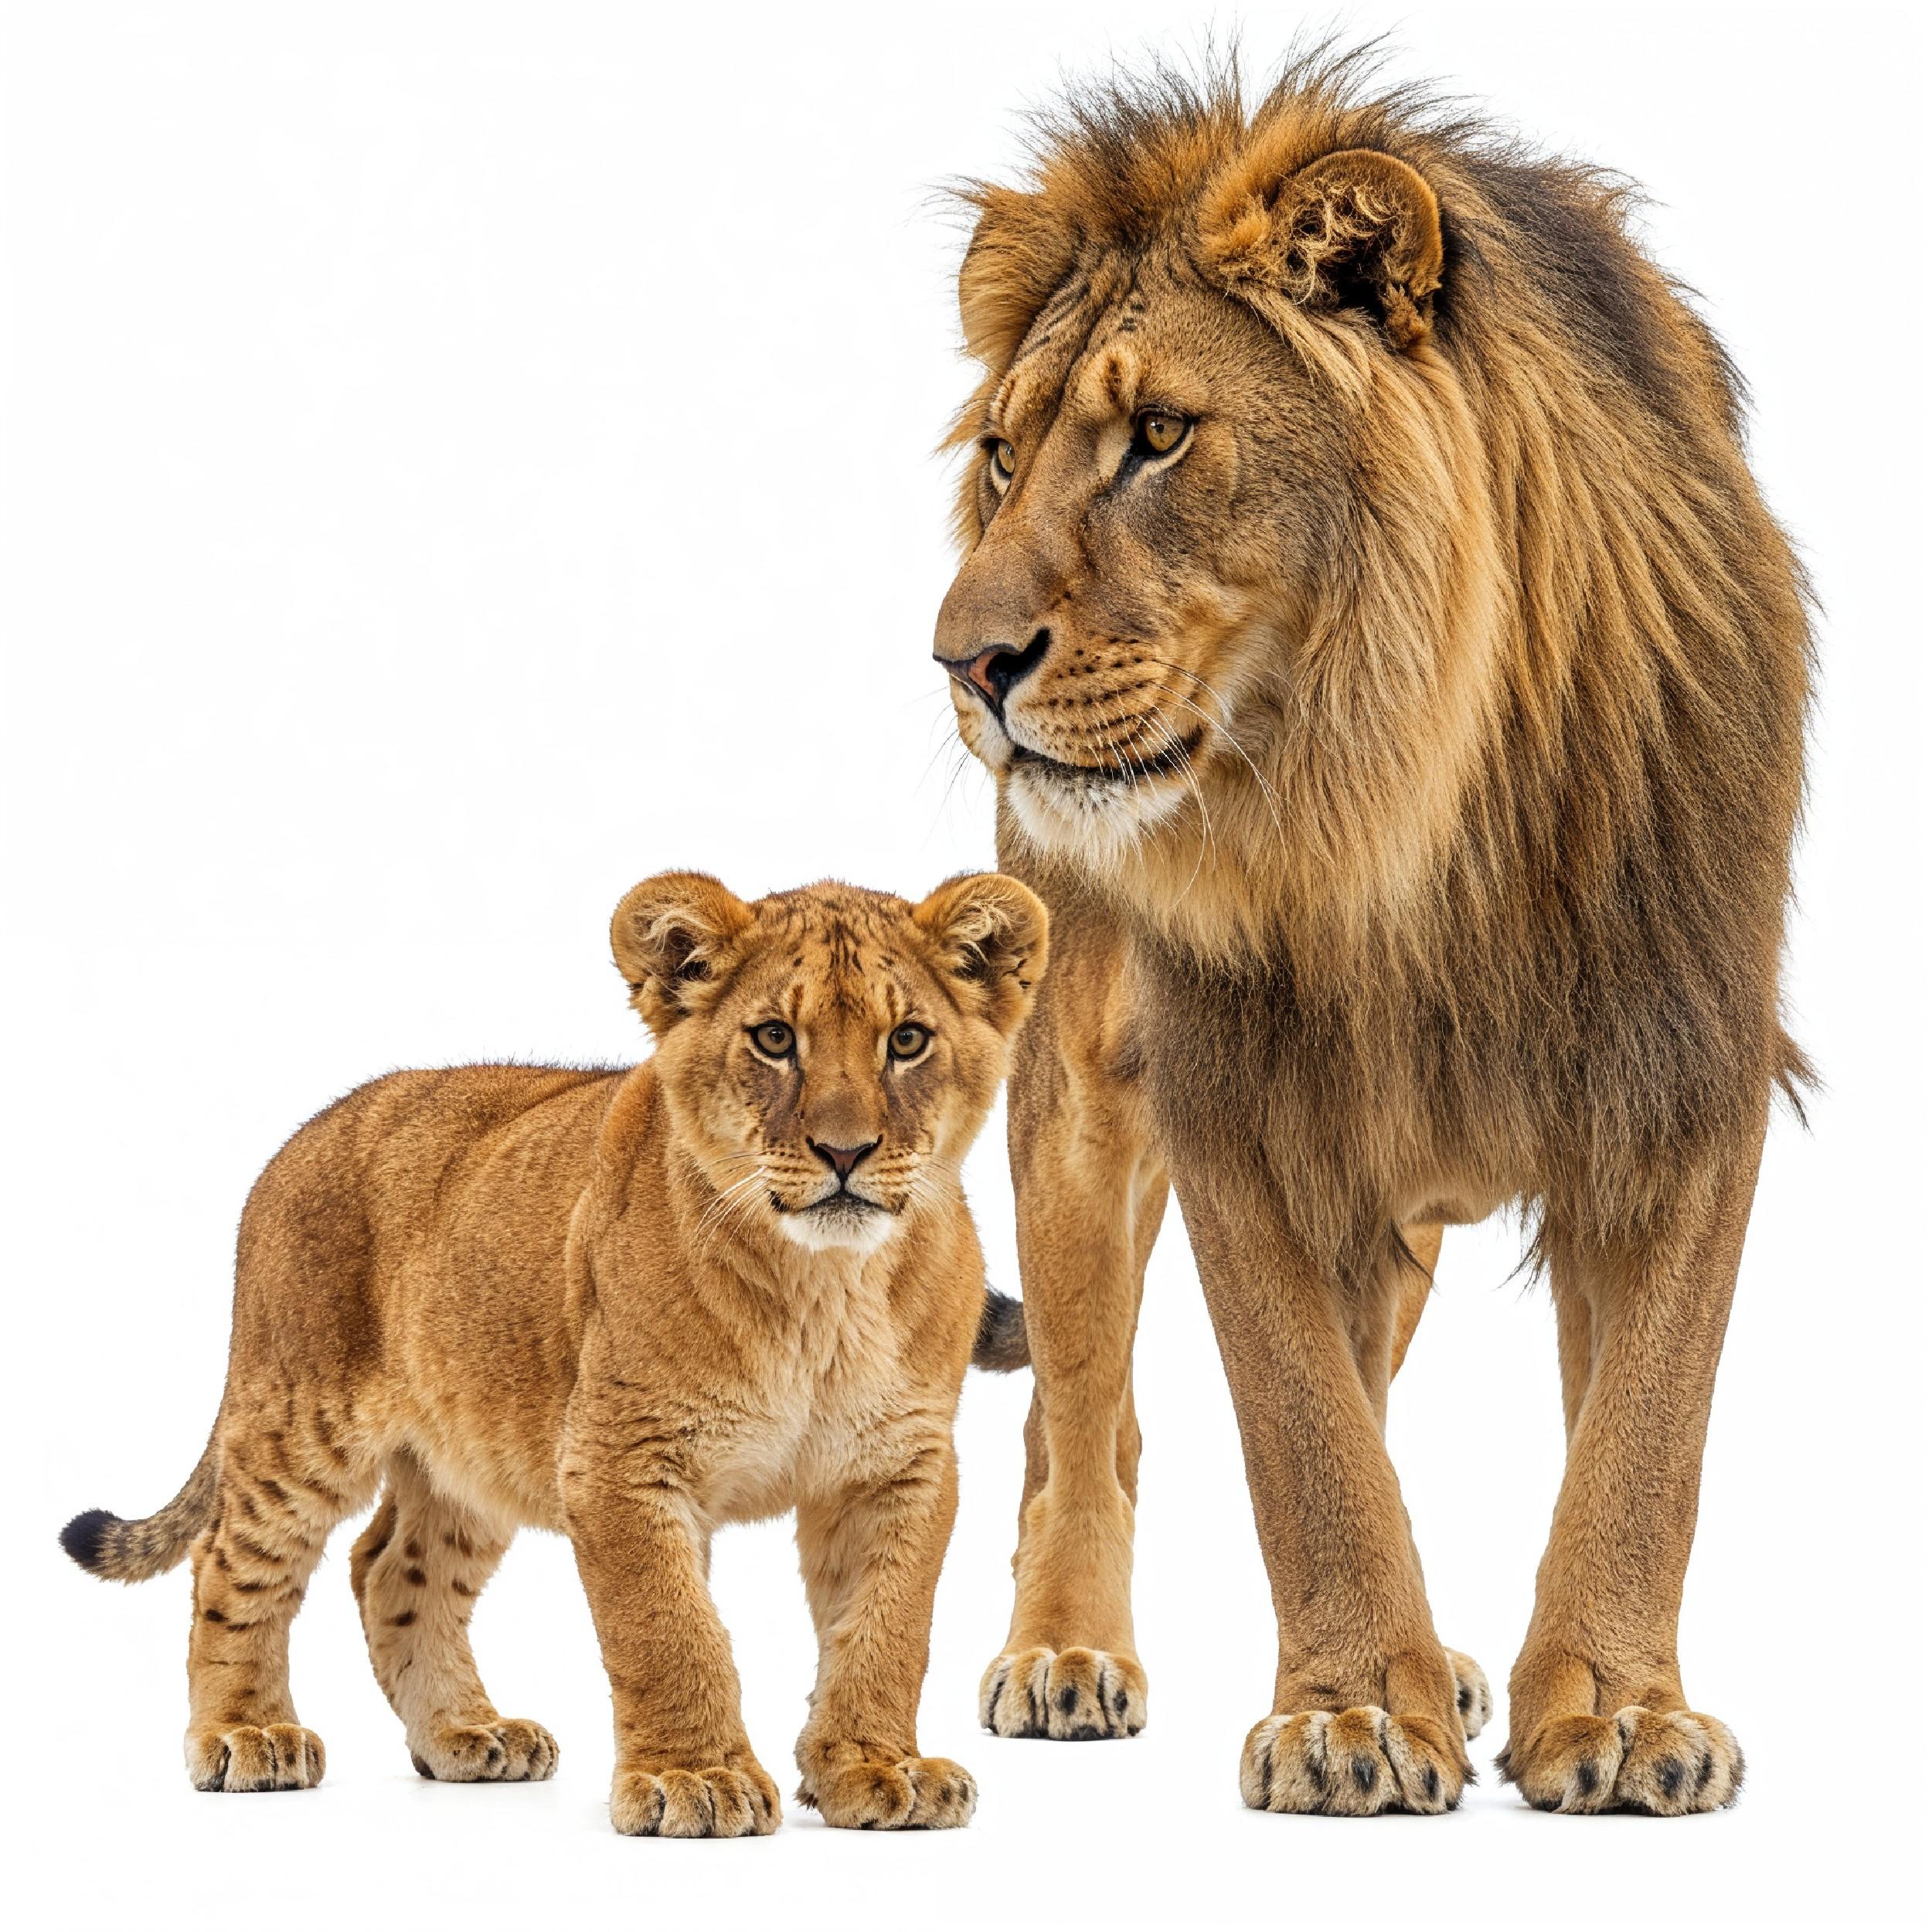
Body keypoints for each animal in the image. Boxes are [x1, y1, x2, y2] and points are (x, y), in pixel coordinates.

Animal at [59, 869, 1046, 1836]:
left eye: (907, 1040)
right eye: (773, 1038)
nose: (846, 1152)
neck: (825, 1292)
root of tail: (305, 1133)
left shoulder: (899, 1464)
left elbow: (884, 1626)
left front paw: (877, 1769)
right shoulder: (618, 1458)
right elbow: (669, 1629)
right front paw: (697, 1778)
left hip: (474, 1450)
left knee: (391, 1570)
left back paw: (464, 1735)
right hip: (301, 1420)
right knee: (230, 1563)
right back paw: (247, 1734)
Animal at [935, 51, 1808, 1815]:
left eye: (1157, 436)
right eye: (1000, 455)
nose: (961, 662)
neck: (1421, 817)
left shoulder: (1687, 1077)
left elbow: (1643, 1437)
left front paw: (1616, 1711)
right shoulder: (1244, 1107)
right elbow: (1301, 1434)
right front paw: (1347, 1714)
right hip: (1074, 1094)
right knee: (1082, 1416)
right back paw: (1063, 1647)